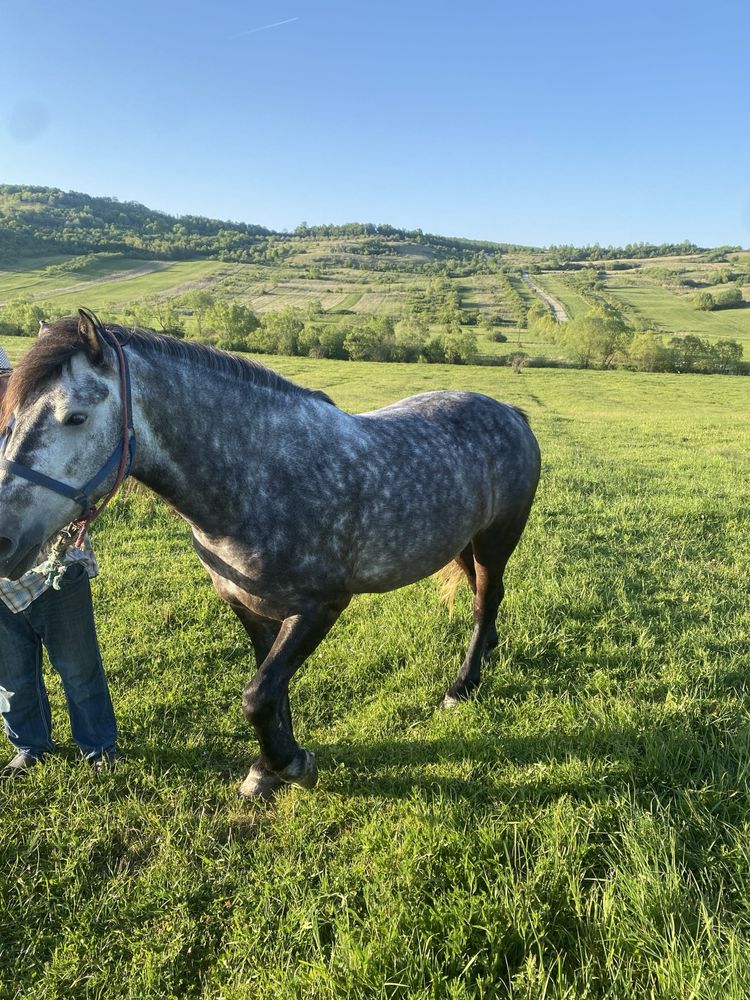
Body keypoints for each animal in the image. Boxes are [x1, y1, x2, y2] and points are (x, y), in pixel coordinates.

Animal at [0, 312, 540, 796]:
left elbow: (257, 696)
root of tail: (510, 412)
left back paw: (462, 686)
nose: (5, 541)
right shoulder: (251, 609)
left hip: (496, 541)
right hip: (464, 543)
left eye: (75, 417)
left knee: (485, 600)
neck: (261, 477)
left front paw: (293, 765)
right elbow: (271, 692)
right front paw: (268, 769)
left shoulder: (321, 607)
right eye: (10, 420)